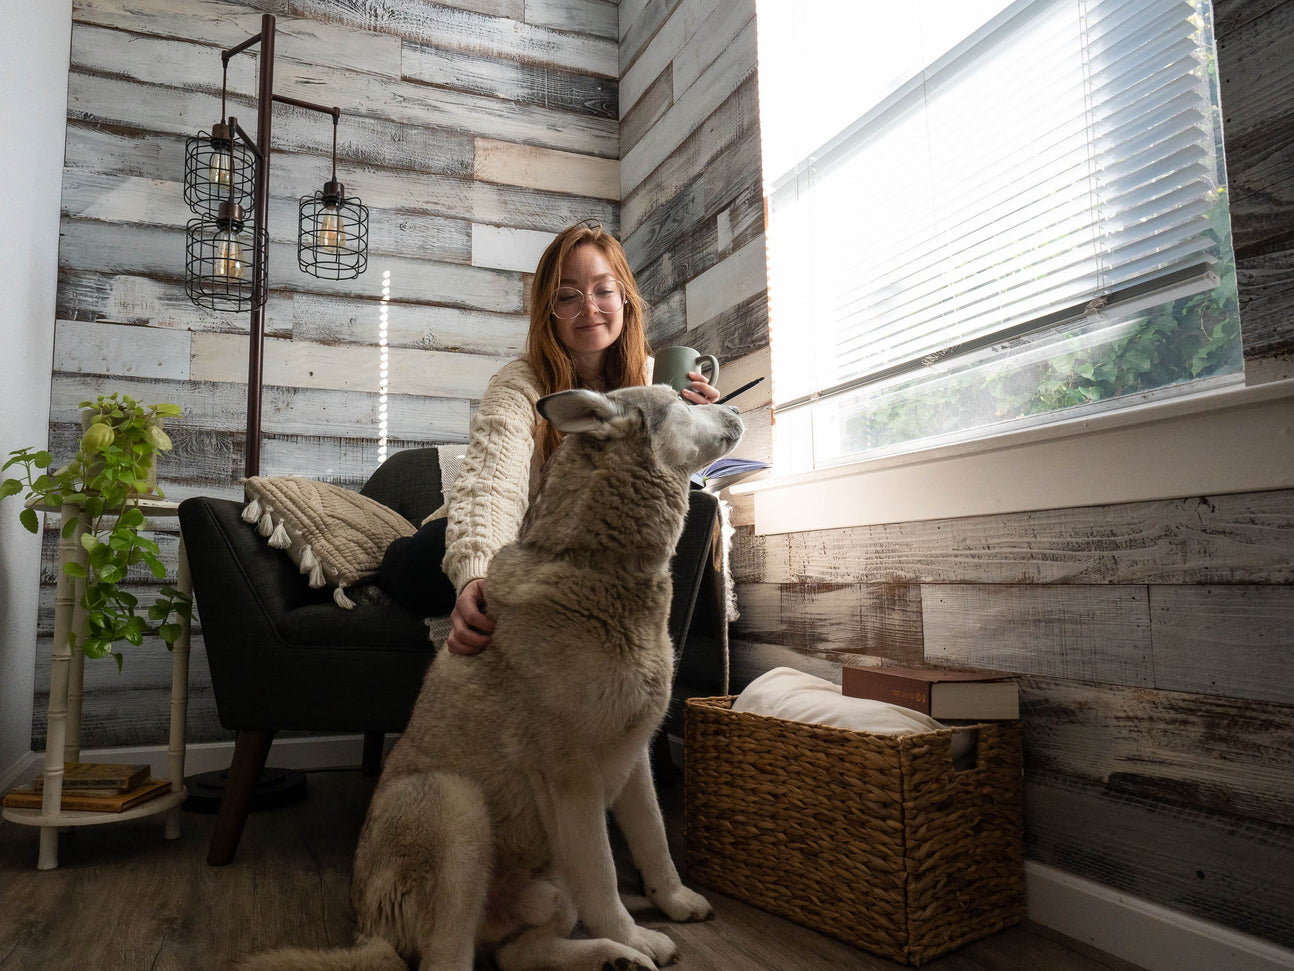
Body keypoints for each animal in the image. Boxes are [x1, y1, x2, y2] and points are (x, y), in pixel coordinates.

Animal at [236, 383, 745, 971]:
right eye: (681, 403)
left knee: (518, 955)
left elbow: (655, 842)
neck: (594, 565)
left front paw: (672, 903)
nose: (737, 407)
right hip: (456, 808)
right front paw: (634, 934)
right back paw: (621, 950)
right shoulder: (572, 780)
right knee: (448, 962)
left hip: (543, 886)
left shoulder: (635, 755)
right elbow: (603, 874)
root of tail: (370, 931)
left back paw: (610, 957)